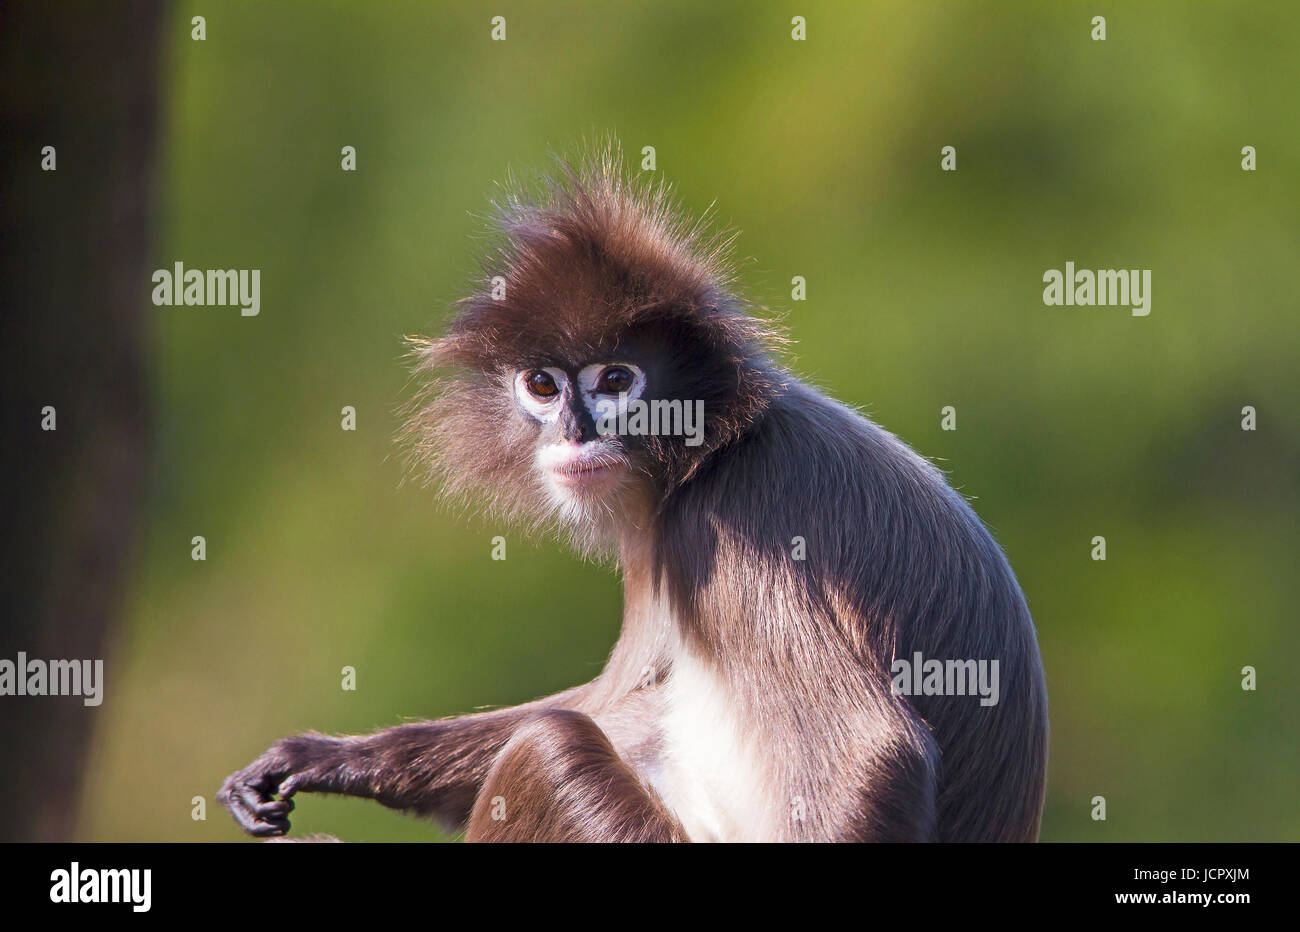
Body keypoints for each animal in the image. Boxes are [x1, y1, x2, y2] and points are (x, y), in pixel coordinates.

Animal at [218, 143, 1050, 842]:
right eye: (543, 386)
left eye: (616, 380)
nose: (574, 432)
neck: (718, 451)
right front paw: (329, 756)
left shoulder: (729, 526)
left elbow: (872, 753)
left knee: (548, 750)